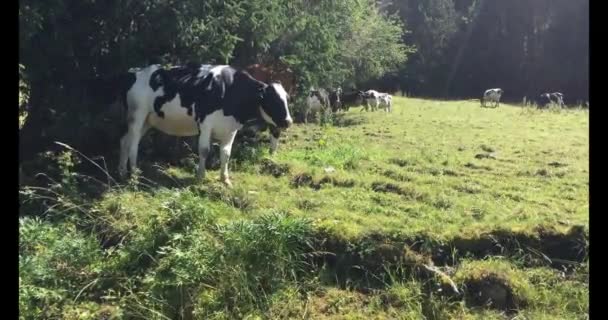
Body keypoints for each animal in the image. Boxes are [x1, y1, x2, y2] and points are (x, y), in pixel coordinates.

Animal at [116, 63, 294, 186]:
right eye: (273, 100)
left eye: (287, 98)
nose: (288, 121)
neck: (229, 89)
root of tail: (135, 72)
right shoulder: (205, 123)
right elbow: (204, 150)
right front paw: (200, 176)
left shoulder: (231, 129)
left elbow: (226, 153)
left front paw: (225, 179)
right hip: (138, 114)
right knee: (133, 144)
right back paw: (134, 174)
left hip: (147, 120)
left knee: (125, 141)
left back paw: (122, 172)